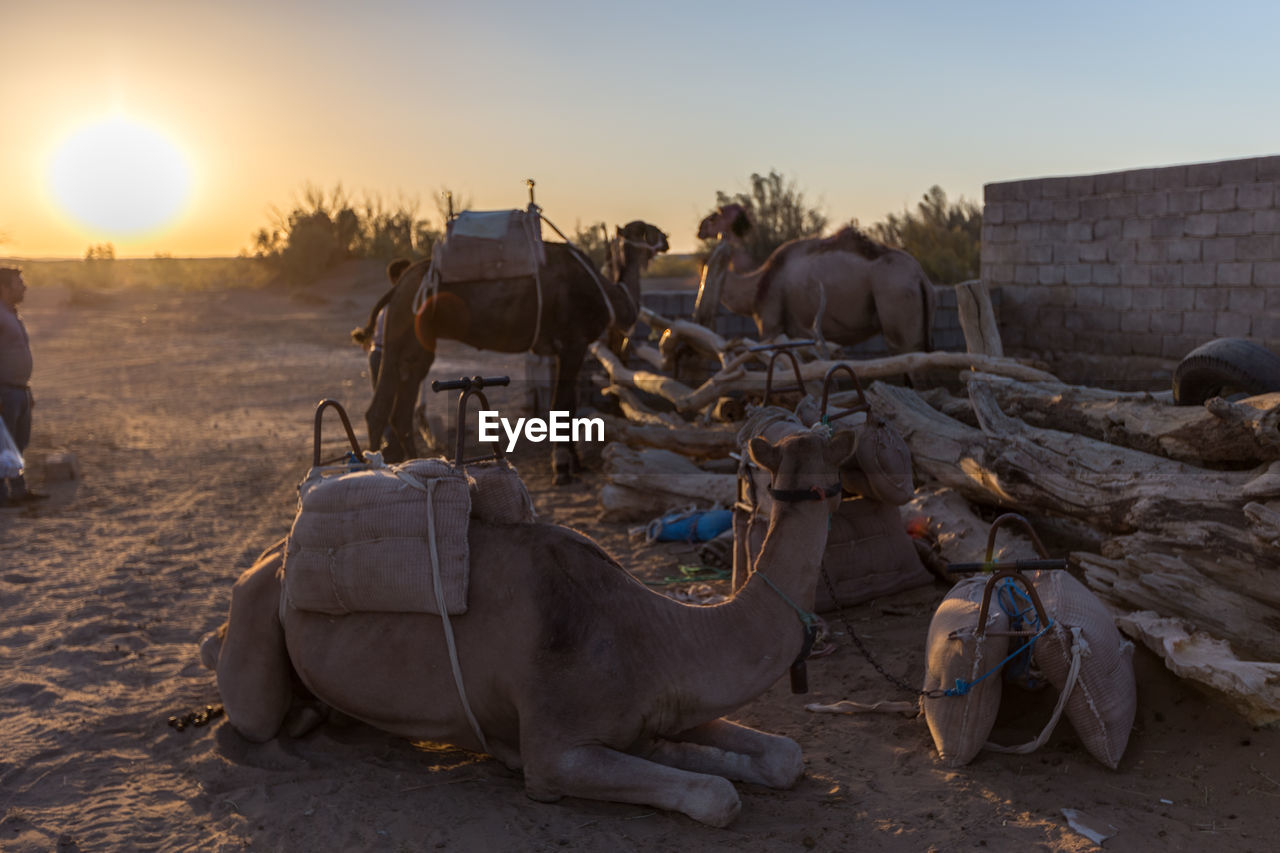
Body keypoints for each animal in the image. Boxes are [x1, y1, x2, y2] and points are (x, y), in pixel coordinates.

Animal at [202, 425, 849, 824]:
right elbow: (719, 796)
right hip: (257, 613)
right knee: (250, 715)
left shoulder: (664, 703)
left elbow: (785, 754)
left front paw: (683, 749)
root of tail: (274, 554)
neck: (656, 633)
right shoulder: (554, 749)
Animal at [350, 219, 670, 481]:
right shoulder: (573, 344)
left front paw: (576, 464)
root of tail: (399, 285)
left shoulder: (560, 349)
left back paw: (415, 465)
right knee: (378, 410)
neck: (605, 293)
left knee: (401, 408)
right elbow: (562, 405)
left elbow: (567, 406)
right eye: (647, 230)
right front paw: (562, 468)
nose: (666, 238)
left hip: (418, 343)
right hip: (401, 328)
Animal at [696, 202, 936, 350]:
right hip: (921, 327)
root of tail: (920, 277)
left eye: (715, 215)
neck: (756, 285)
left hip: (898, 311)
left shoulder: (770, 325)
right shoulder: (799, 334)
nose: (700, 227)